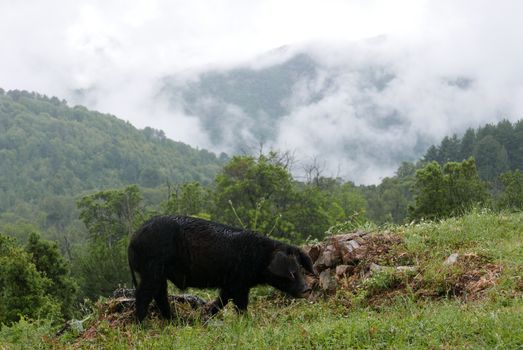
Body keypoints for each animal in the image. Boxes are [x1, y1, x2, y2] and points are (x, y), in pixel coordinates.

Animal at [128, 216, 316, 322]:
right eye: (291, 272)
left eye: (300, 268)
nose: (307, 289)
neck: (260, 258)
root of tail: (133, 239)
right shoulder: (239, 283)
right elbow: (240, 304)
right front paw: (247, 321)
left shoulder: (229, 283)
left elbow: (221, 300)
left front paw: (206, 317)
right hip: (151, 269)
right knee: (144, 294)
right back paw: (142, 324)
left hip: (159, 274)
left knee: (159, 295)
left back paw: (174, 321)